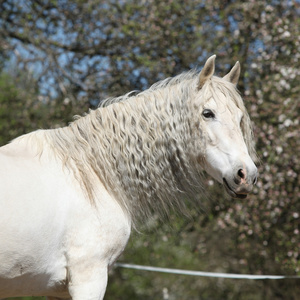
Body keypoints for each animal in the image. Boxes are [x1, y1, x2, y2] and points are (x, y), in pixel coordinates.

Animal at [0, 55, 258, 298]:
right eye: (207, 113)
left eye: (239, 118)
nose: (246, 174)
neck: (90, 172)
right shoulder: (89, 278)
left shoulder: (59, 291)